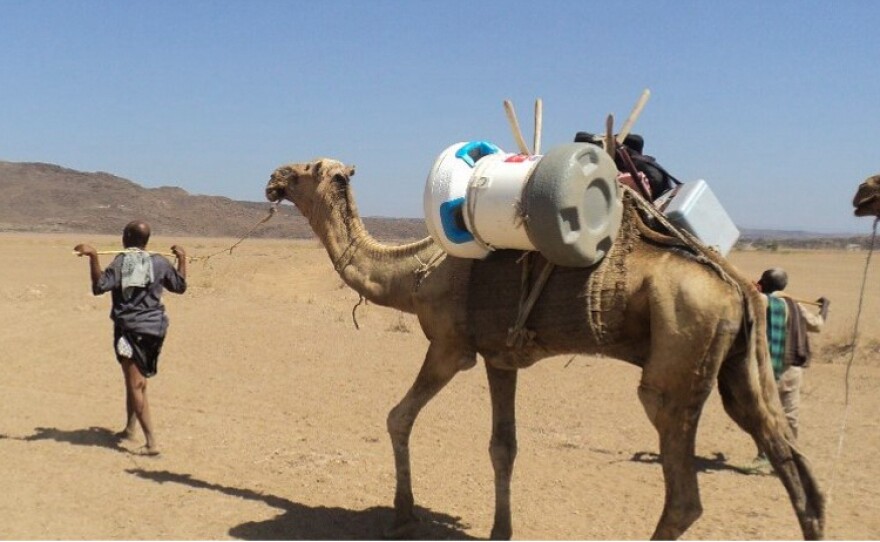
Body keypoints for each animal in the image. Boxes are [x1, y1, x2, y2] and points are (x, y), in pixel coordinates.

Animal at [264, 157, 825, 540]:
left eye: (305, 168)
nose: (273, 177)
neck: (416, 272)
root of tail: (736, 286)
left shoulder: (449, 347)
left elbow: (398, 417)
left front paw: (403, 514)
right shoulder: (500, 356)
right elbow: (503, 447)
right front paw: (499, 530)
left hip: (679, 355)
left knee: (684, 494)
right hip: (739, 366)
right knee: (793, 465)